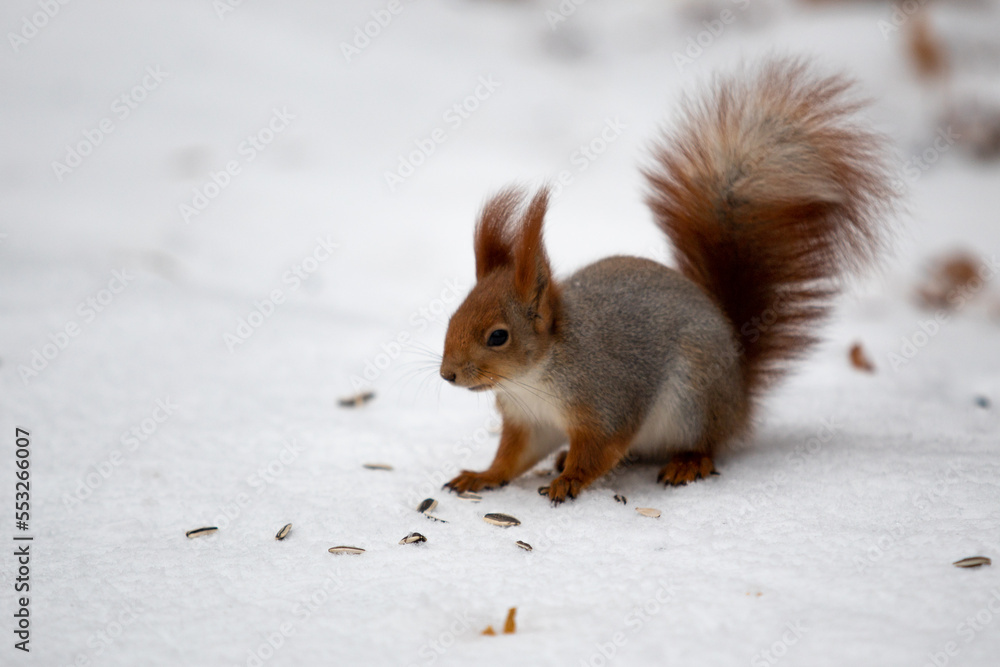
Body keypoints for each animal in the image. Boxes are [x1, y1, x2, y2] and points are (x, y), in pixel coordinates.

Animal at [438, 58, 900, 506]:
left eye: (498, 336)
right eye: (452, 318)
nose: (447, 375)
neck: (532, 379)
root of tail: (739, 397)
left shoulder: (608, 400)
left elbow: (601, 448)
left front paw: (570, 481)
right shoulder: (530, 420)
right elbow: (514, 457)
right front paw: (482, 476)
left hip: (694, 398)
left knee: (706, 444)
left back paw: (686, 463)